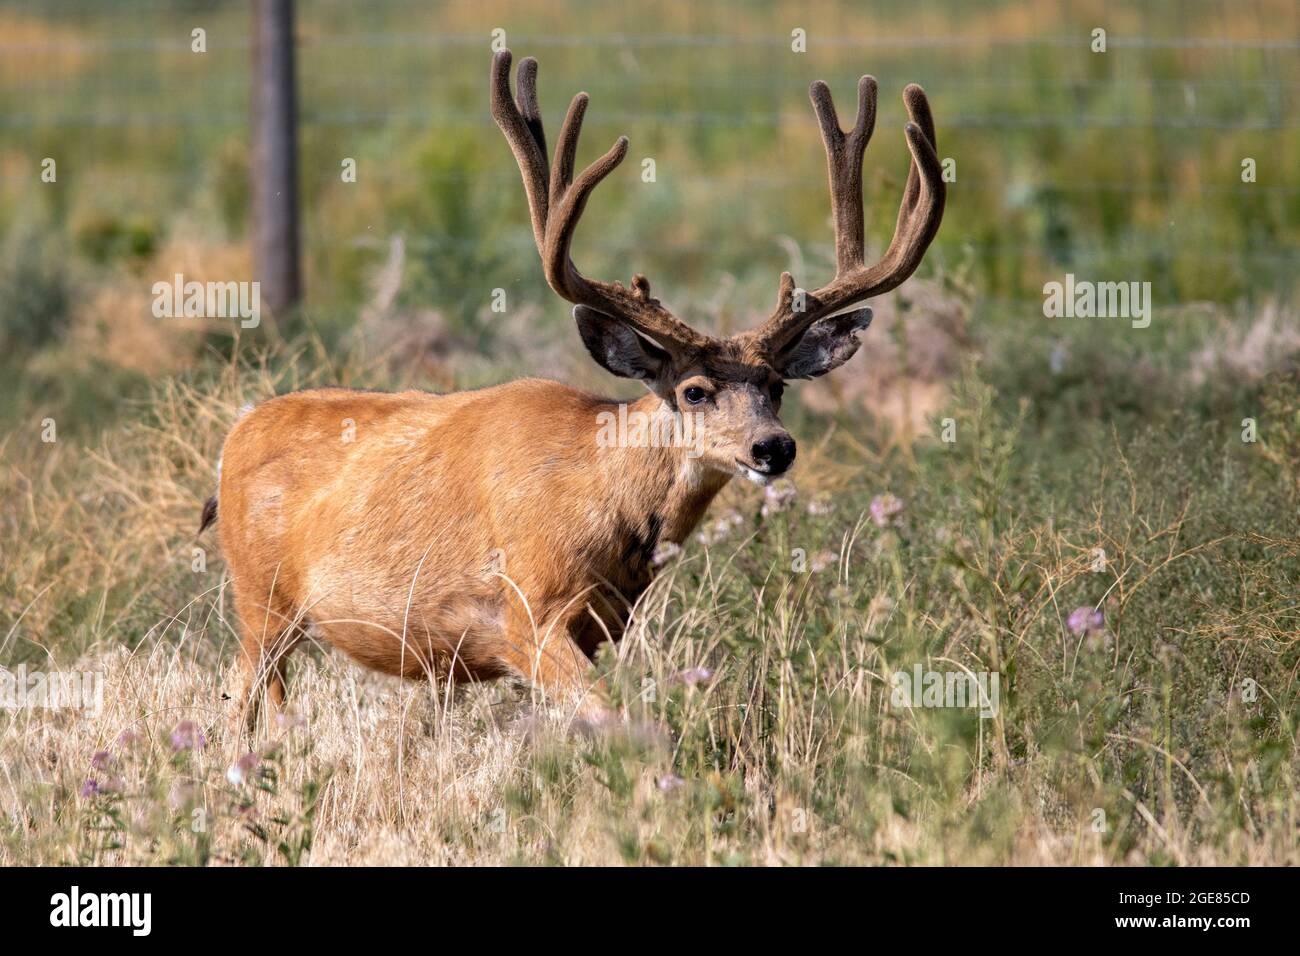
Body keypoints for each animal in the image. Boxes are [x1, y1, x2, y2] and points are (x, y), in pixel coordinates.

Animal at [205, 49, 944, 737]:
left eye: (776, 386)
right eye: (694, 390)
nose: (774, 447)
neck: (599, 497)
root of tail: (235, 434)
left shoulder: (603, 625)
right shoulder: (525, 612)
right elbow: (619, 717)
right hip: (261, 597)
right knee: (238, 695)